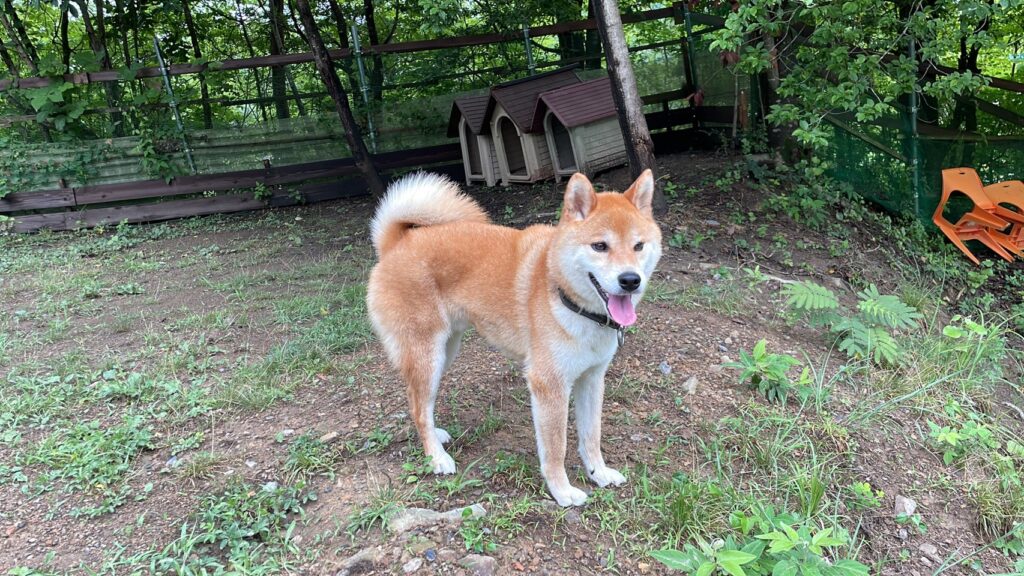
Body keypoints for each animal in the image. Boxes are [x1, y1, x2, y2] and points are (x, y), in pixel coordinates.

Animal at [366, 170, 662, 506]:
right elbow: (556, 448)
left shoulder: (592, 378)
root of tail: (395, 244)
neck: (564, 294)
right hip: (428, 355)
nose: (630, 280)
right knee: (418, 408)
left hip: (445, 351)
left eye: (638, 246)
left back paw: (436, 438)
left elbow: (591, 436)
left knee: (420, 404)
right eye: (600, 246)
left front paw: (599, 473)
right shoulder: (549, 385)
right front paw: (562, 491)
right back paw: (437, 458)